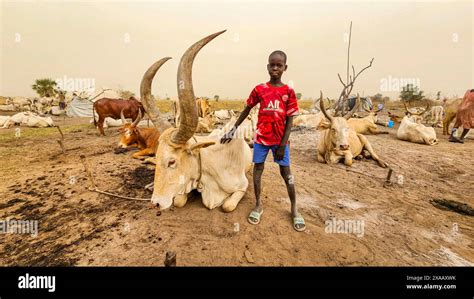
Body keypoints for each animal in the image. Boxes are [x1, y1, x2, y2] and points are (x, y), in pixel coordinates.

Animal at [141, 30, 252, 212]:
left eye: (172, 161)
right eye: (157, 155)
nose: (155, 203)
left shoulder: (243, 186)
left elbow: (227, 205)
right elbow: (179, 200)